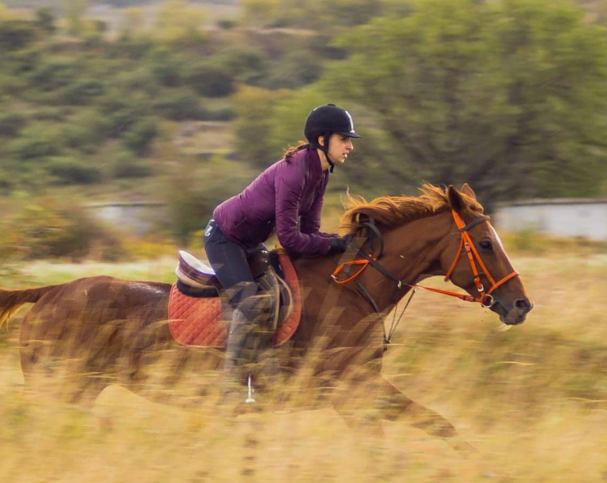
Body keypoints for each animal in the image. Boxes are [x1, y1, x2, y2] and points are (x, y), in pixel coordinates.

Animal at [0, 183, 532, 456]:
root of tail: (47, 293)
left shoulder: (358, 392)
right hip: (60, 389)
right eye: (486, 244)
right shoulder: (352, 389)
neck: (350, 288)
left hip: (76, 390)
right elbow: (423, 431)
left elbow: (436, 427)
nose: (521, 305)